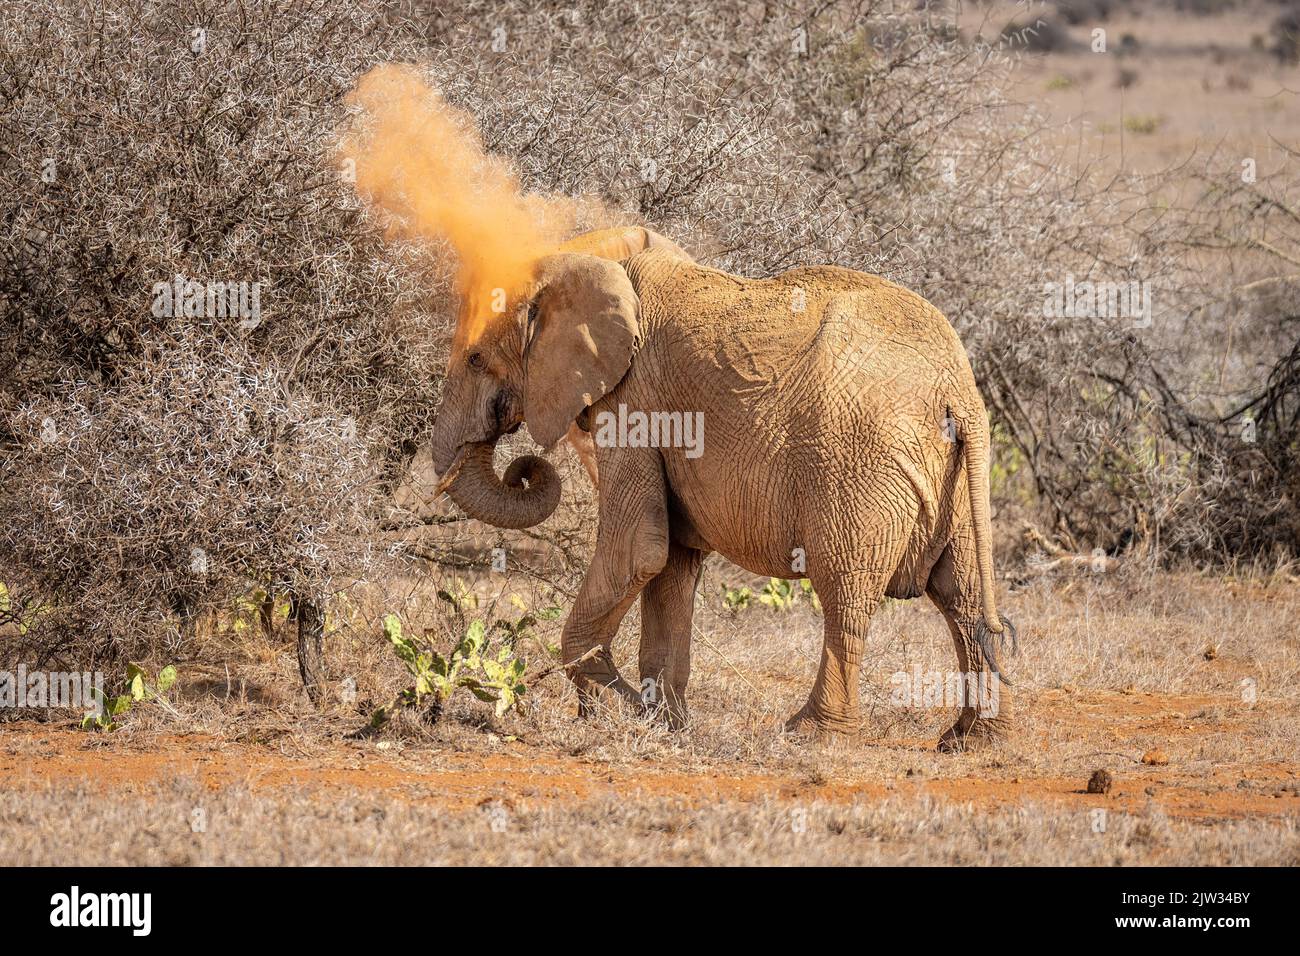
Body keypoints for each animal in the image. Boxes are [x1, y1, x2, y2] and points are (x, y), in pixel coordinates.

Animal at [428, 227, 1016, 751]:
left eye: (476, 359)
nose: (522, 467)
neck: (592, 256)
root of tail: (957, 390)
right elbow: (671, 561)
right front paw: (663, 723)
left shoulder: (637, 401)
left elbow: (638, 549)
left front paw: (619, 705)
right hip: (957, 480)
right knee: (963, 594)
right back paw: (970, 741)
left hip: (861, 467)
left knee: (845, 592)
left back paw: (810, 735)